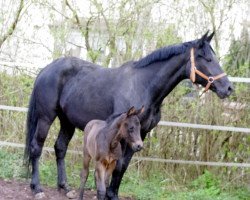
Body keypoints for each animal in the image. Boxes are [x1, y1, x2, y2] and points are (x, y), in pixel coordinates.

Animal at [24, 32, 232, 199]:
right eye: (207, 58)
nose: (228, 88)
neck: (144, 85)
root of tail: (47, 69)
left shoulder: (140, 134)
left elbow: (123, 166)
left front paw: (112, 193)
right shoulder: (124, 135)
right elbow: (119, 165)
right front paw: (109, 194)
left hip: (67, 121)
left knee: (60, 148)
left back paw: (65, 187)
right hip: (45, 118)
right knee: (36, 147)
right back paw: (37, 188)